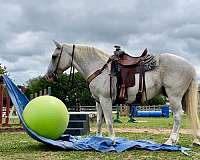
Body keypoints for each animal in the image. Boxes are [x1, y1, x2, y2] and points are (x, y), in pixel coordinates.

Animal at [45, 41, 200, 146]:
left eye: (54, 56)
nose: (48, 76)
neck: (99, 69)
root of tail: (190, 66)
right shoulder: (98, 101)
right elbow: (100, 121)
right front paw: (98, 139)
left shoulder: (105, 100)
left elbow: (108, 121)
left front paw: (112, 141)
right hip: (182, 98)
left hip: (174, 97)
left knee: (178, 116)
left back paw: (170, 141)